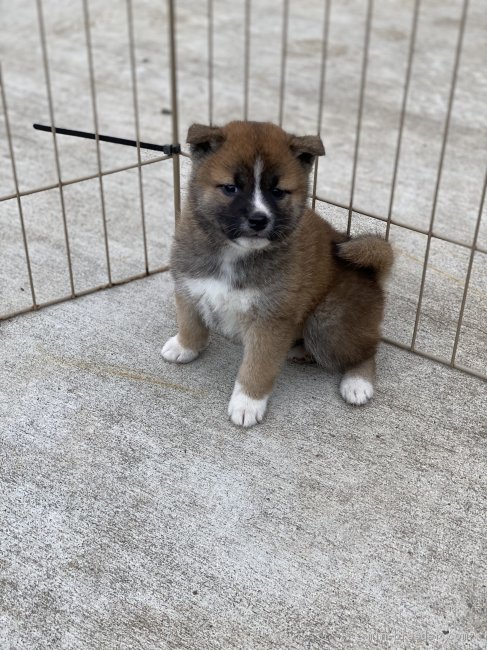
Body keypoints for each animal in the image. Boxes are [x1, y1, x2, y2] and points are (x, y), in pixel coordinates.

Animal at [162, 120, 394, 426]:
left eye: (278, 191)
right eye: (231, 188)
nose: (259, 219)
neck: (233, 254)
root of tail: (371, 276)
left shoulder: (271, 319)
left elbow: (258, 366)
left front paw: (248, 402)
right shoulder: (188, 285)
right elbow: (190, 322)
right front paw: (184, 346)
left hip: (327, 324)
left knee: (367, 351)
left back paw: (357, 382)